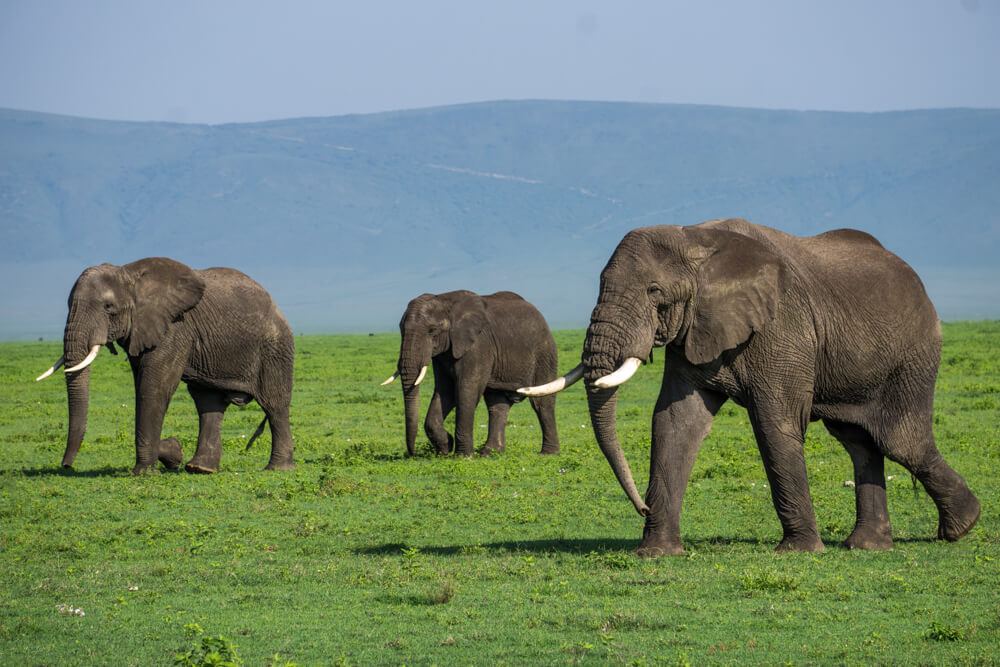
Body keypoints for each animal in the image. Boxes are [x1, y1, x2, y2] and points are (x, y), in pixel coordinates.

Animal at [39, 256, 296, 474]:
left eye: (108, 307)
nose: (66, 466)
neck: (129, 274)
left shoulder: (174, 328)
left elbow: (153, 388)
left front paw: (145, 471)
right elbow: (142, 387)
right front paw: (173, 451)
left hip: (275, 348)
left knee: (274, 404)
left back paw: (277, 469)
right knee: (208, 403)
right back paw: (200, 468)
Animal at [380, 292, 560, 460]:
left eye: (433, 330)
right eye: (401, 329)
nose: (413, 453)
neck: (445, 300)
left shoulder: (478, 345)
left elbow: (466, 390)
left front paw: (463, 457)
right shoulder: (443, 353)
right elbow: (445, 391)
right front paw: (445, 447)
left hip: (545, 352)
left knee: (542, 403)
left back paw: (548, 454)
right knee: (497, 404)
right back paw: (490, 453)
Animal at [520, 222, 980, 556]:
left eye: (654, 292)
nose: (642, 505)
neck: (696, 239)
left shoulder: (783, 327)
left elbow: (775, 423)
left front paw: (799, 553)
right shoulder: (694, 331)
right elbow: (674, 422)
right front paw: (656, 554)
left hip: (914, 357)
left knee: (900, 440)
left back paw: (961, 528)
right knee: (860, 441)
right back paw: (867, 546)